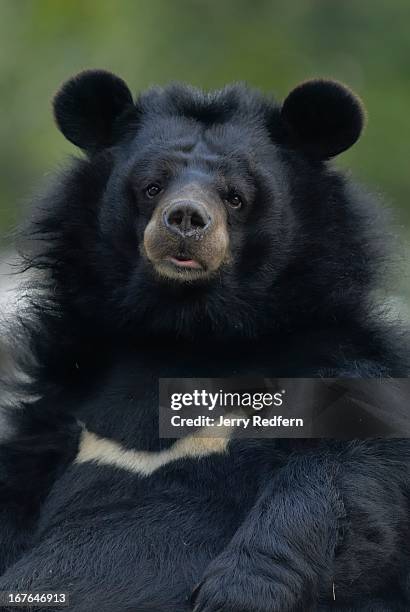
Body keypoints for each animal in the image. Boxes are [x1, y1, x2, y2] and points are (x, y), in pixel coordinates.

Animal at [0, 69, 408, 608]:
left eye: (236, 195)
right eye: (151, 187)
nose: (186, 219)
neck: (188, 330)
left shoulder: (345, 362)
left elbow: (350, 471)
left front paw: (238, 591)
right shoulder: (57, 408)